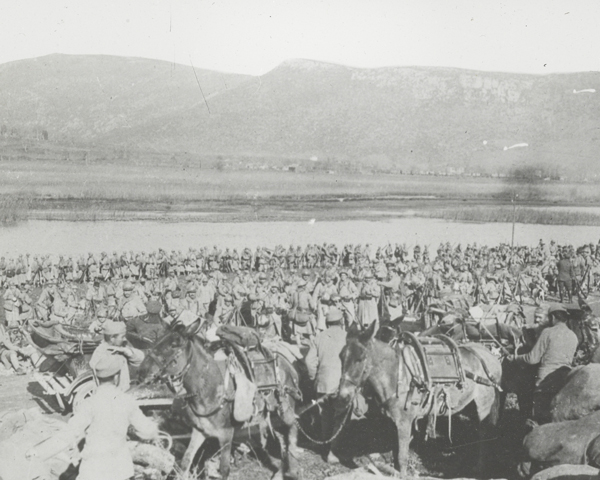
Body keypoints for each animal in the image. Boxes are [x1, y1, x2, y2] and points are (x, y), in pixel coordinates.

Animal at [137, 320, 304, 480]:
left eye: (173, 344)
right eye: (157, 341)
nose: (142, 371)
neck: (209, 388)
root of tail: (288, 364)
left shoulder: (226, 434)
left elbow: (224, 470)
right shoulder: (200, 431)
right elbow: (185, 461)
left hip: (285, 412)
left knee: (291, 435)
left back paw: (292, 471)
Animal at [332, 320, 502, 474]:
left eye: (360, 358)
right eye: (340, 356)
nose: (343, 396)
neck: (396, 375)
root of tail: (490, 355)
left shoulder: (404, 423)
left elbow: (402, 458)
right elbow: (396, 456)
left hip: (484, 405)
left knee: (484, 432)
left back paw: (479, 467)